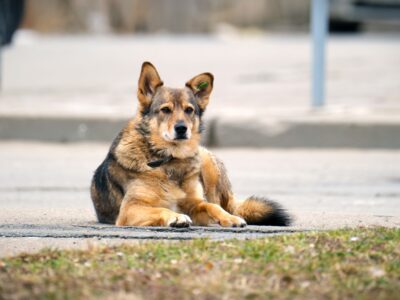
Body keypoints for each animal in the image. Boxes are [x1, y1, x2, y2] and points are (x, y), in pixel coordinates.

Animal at [90, 62, 290, 227]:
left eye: (189, 110)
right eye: (165, 110)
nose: (181, 128)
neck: (169, 160)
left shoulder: (195, 204)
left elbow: (212, 206)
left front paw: (229, 218)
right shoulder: (130, 209)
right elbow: (162, 209)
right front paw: (176, 217)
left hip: (207, 161)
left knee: (220, 203)